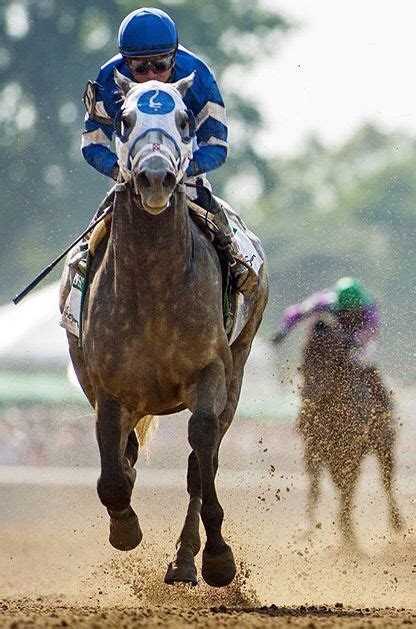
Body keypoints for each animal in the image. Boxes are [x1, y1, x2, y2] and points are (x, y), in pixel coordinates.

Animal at [59, 71, 270, 588]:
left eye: (184, 119)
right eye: (124, 119)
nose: (156, 178)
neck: (155, 286)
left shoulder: (211, 372)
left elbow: (201, 447)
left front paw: (218, 557)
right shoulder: (109, 389)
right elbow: (113, 475)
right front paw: (124, 526)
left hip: (238, 370)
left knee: (201, 458)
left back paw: (187, 559)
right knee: (132, 453)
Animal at [300, 316, 404, 548]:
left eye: (330, 358)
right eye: (305, 353)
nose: (309, 395)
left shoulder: (352, 450)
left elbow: (348, 487)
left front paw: (348, 535)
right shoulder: (315, 447)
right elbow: (316, 487)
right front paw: (310, 529)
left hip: (384, 446)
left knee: (386, 480)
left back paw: (396, 522)